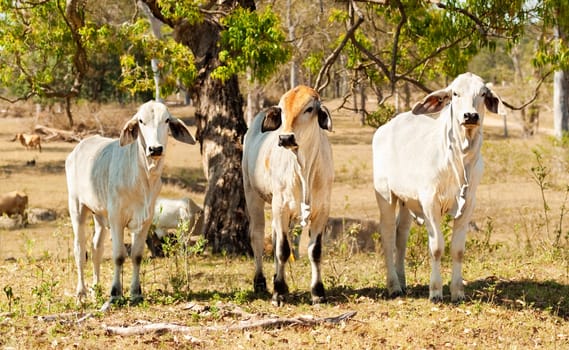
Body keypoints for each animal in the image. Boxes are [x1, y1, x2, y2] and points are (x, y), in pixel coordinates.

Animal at [65, 100, 195, 304]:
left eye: (166, 120)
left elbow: (137, 255)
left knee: (96, 249)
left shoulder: (145, 220)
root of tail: (79, 147)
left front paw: (136, 293)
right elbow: (119, 256)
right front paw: (115, 292)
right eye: (141, 121)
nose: (155, 149)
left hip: (99, 215)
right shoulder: (116, 218)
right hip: (77, 207)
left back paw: (95, 290)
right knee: (80, 250)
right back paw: (81, 293)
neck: (142, 177)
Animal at [241, 85, 332, 306]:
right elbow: (283, 249)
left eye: (309, 109)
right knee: (257, 236)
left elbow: (315, 251)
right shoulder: (280, 206)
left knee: (274, 238)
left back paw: (276, 277)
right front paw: (279, 293)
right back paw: (261, 282)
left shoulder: (322, 210)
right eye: (281, 111)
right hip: (253, 195)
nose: (285, 138)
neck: (303, 167)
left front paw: (318, 292)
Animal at [374, 72, 500, 302]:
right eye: (455, 93)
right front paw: (435, 290)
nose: (470, 116)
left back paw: (402, 280)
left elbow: (457, 250)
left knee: (401, 235)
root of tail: (385, 128)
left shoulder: (468, 205)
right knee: (387, 235)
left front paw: (457, 291)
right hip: (385, 195)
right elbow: (437, 248)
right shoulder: (430, 203)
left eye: (482, 94)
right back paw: (393, 285)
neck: (459, 160)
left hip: (406, 200)